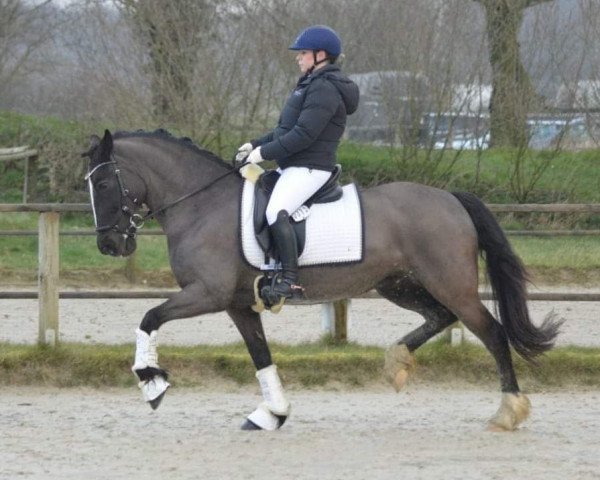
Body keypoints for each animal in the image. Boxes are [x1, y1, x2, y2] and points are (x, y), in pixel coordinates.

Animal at [82, 130, 560, 432]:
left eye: (103, 182)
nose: (108, 244)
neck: (202, 204)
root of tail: (450, 198)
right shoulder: (238, 304)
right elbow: (261, 356)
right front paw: (272, 414)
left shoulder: (207, 294)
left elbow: (149, 317)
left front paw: (151, 382)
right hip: (399, 284)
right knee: (439, 317)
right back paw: (397, 362)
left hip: (450, 284)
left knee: (492, 333)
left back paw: (508, 411)